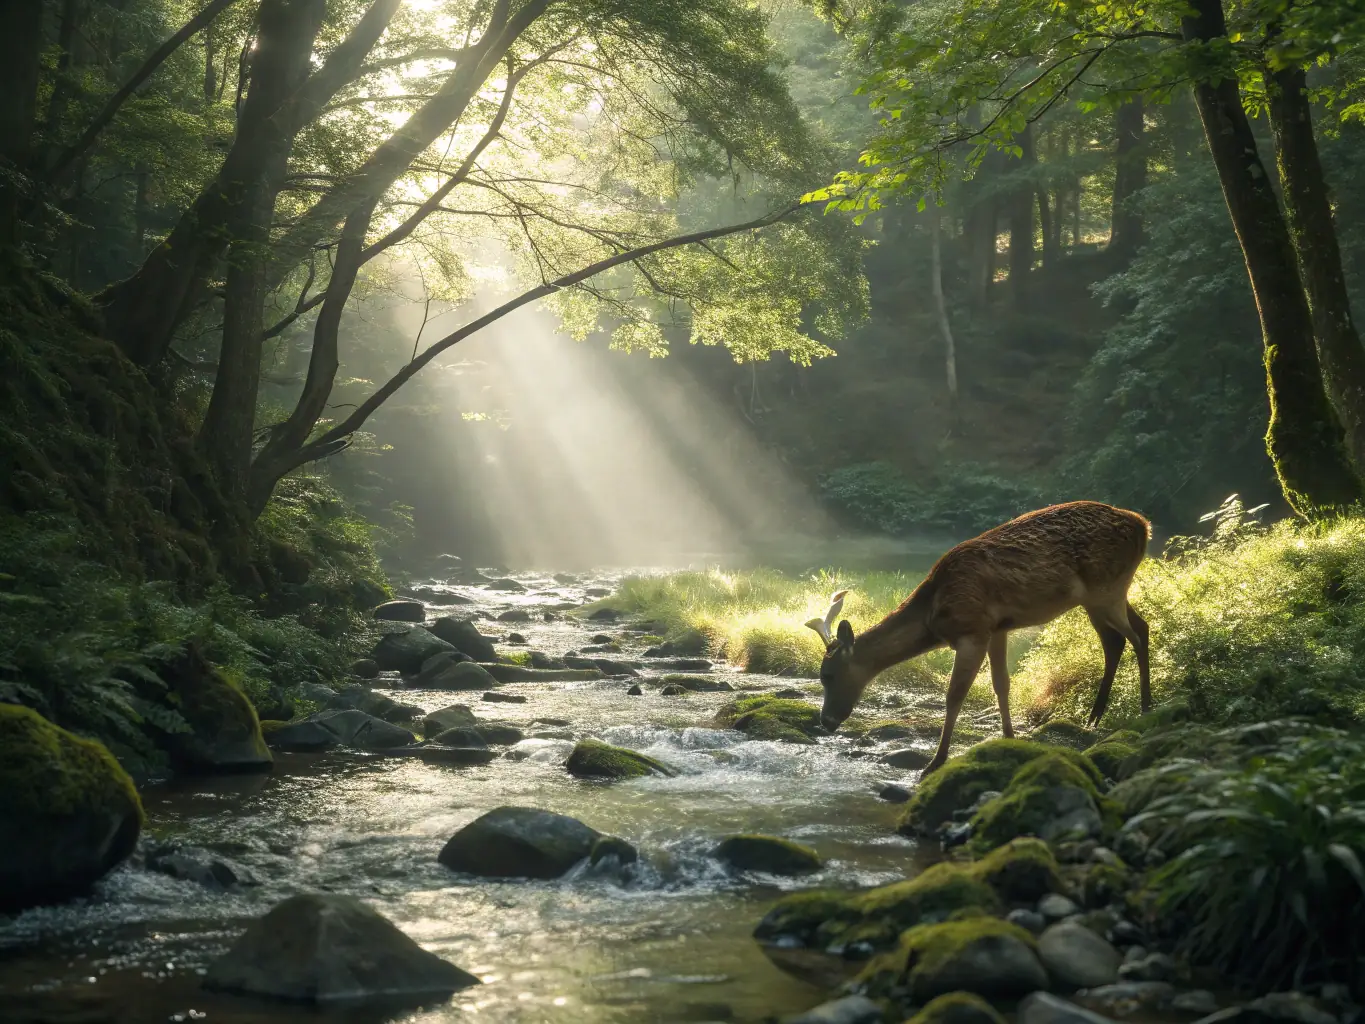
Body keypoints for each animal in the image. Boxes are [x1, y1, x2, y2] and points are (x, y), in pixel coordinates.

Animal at [805, 500, 1151, 776]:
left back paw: (1146, 708)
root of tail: (1143, 525)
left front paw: (935, 762)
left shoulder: (973, 630)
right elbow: (1002, 684)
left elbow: (955, 694)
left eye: (827, 675)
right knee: (1125, 636)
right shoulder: (998, 628)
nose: (825, 721)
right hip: (1099, 598)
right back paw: (1095, 716)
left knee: (1137, 634)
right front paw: (1010, 738)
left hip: (1107, 588)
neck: (933, 616)